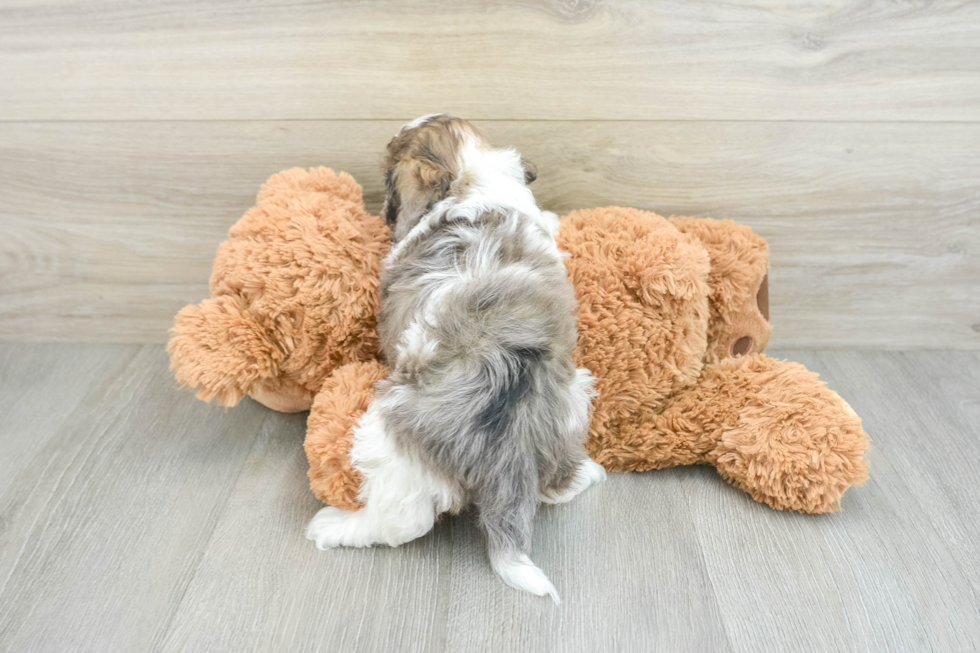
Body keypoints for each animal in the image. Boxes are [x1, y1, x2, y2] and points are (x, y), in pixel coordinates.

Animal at [304, 113, 604, 600]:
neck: (471, 177)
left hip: (388, 433)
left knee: (404, 521)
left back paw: (337, 526)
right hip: (576, 397)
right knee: (558, 482)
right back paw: (583, 476)